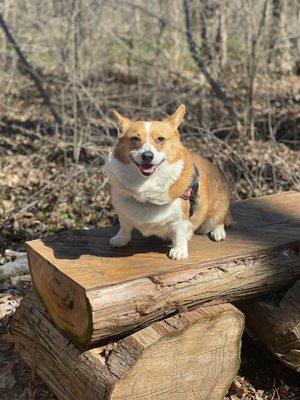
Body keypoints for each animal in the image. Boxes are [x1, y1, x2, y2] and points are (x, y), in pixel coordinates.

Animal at [103, 104, 232, 260]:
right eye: (135, 138)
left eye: (160, 139)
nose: (147, 156)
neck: (146, 183)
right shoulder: (122, 211)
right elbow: (125, 227)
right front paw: (120, 239)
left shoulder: (180, 220)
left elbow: (179, 235)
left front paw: (179, 251)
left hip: (216, 211)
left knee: (220, 221)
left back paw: (218, 232)